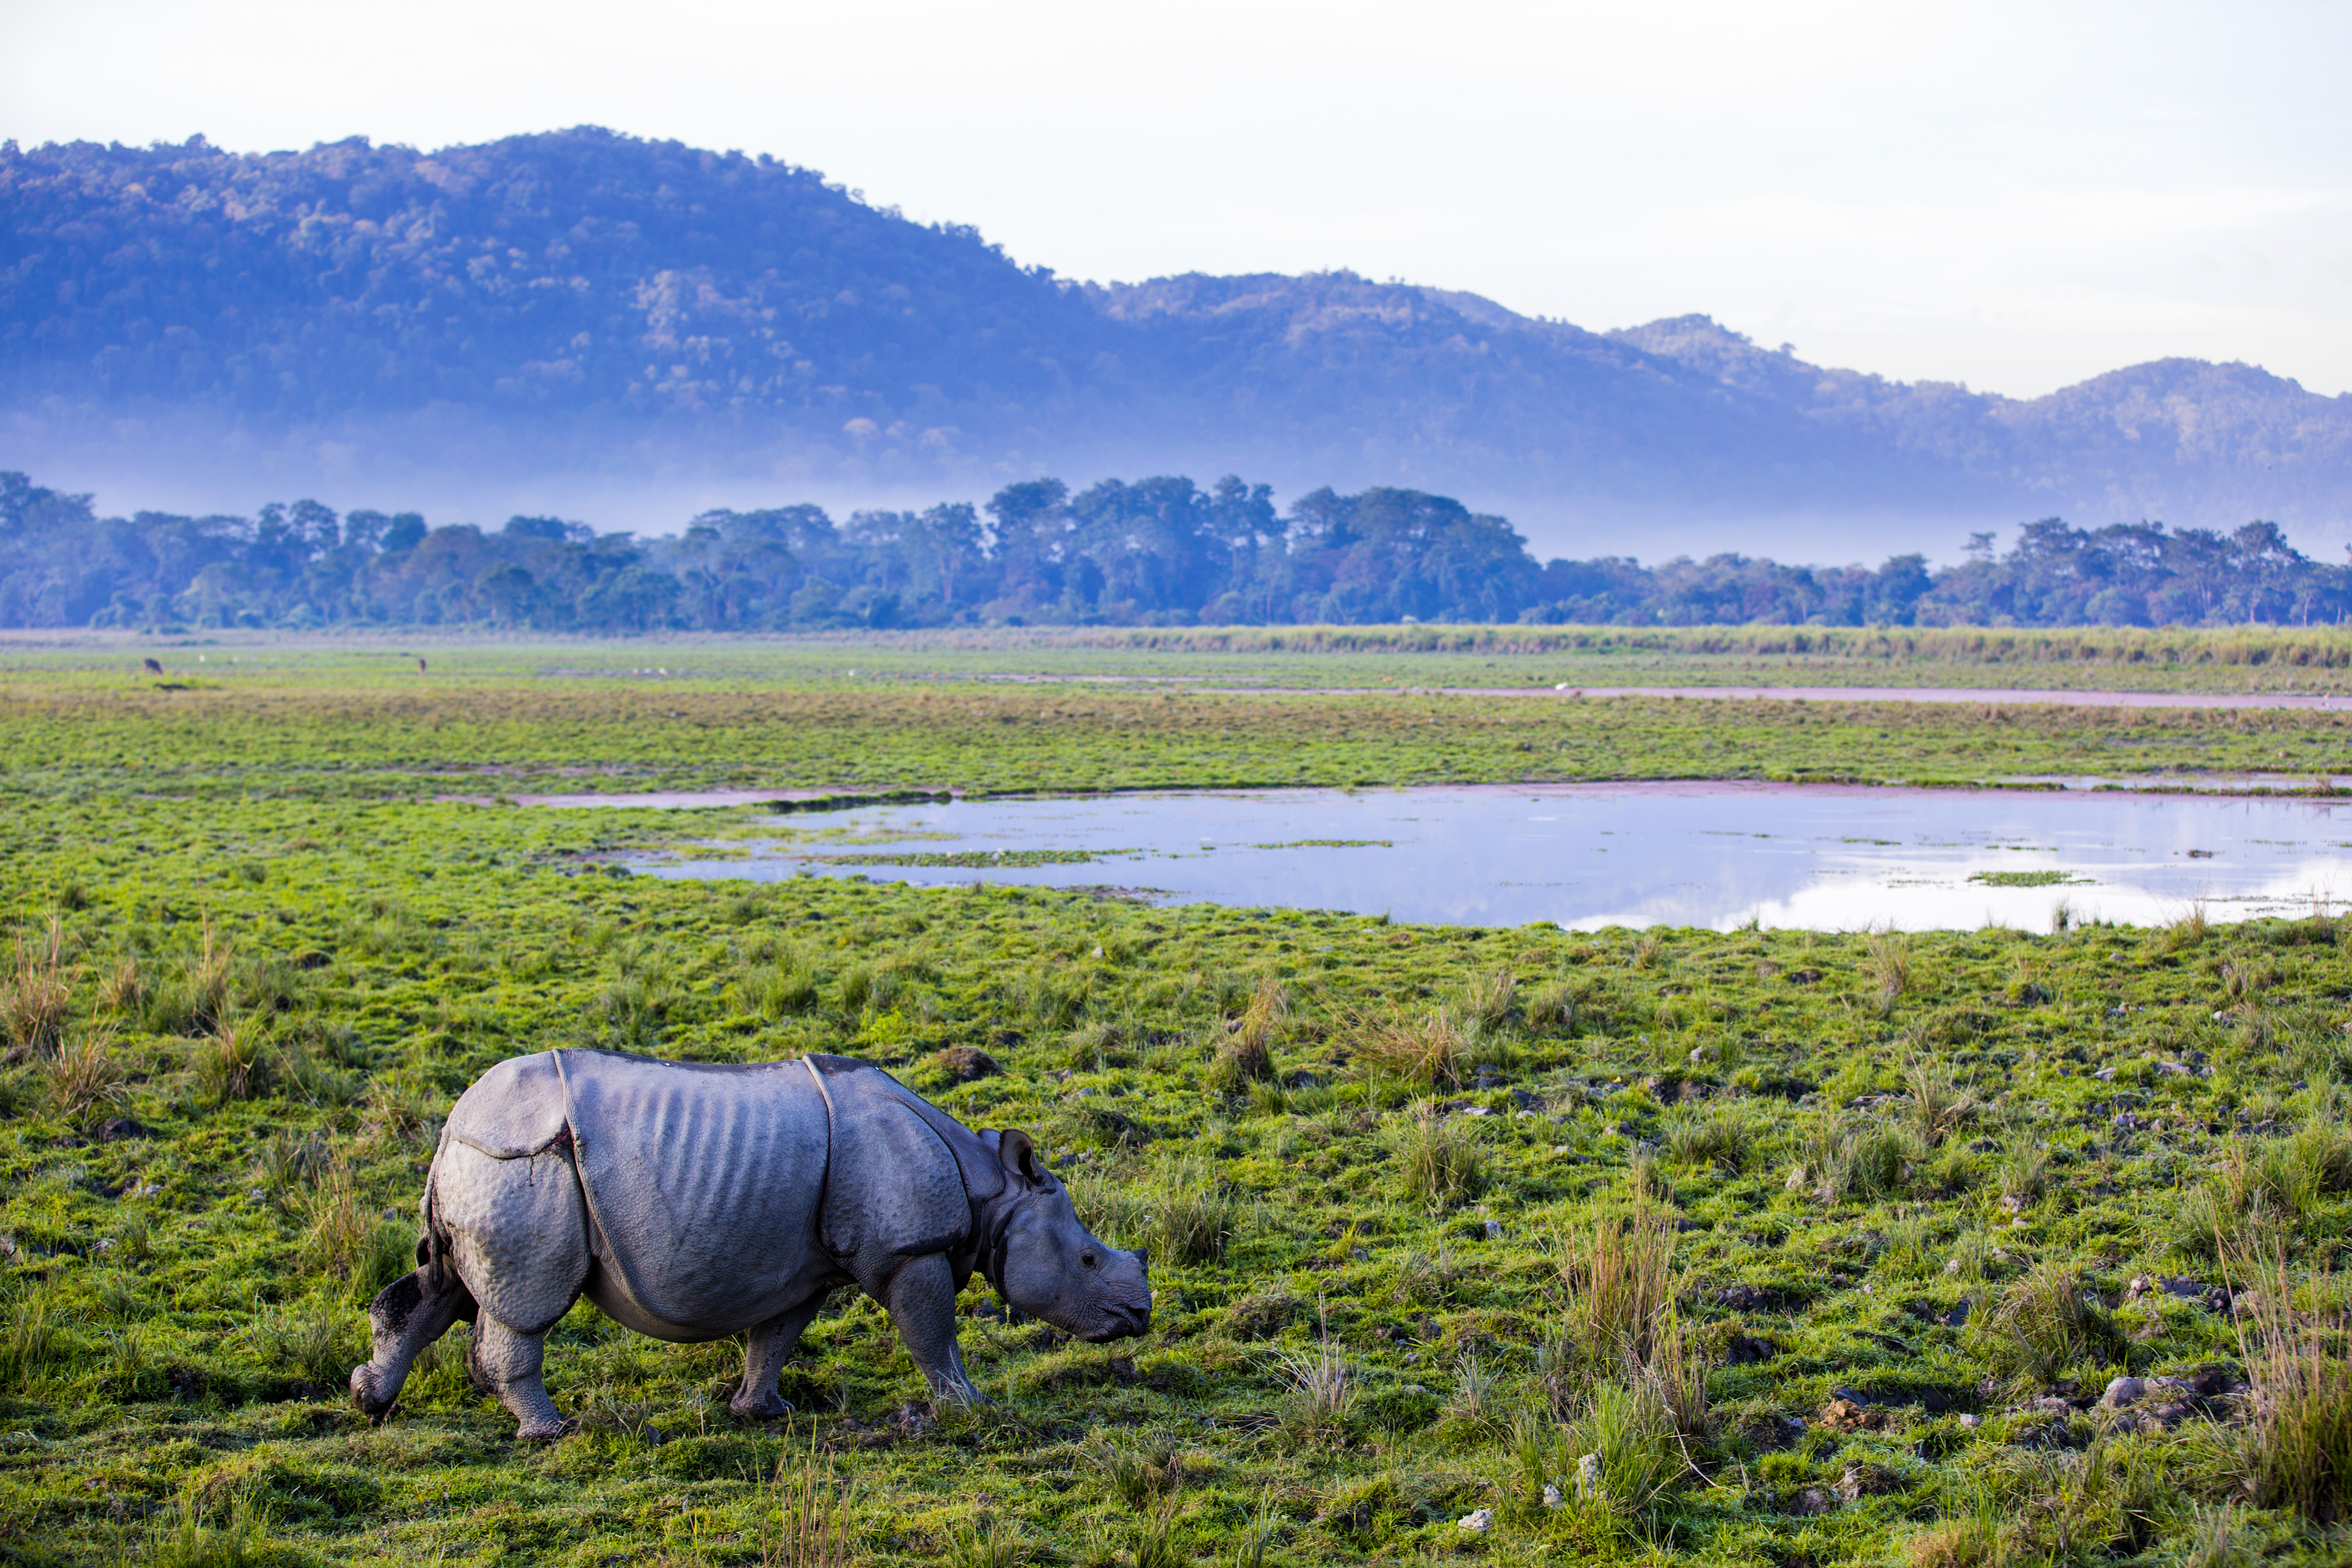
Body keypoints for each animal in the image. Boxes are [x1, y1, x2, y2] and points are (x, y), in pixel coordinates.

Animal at [349, 1049, 1150, 1438]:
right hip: (525, 1164)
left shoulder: (805, 1267)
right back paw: (550, 1431)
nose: (1139, 1317)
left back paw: (369, 1399)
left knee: (444, 1287)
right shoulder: (909, 1250)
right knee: (525, 1306)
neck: (991, 1191)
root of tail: (452, 1123)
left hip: (487, 1165)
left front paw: (763, 1412)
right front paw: (969, 1406)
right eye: (1086, 1260)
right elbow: (932, 1335)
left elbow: (776, 1337)